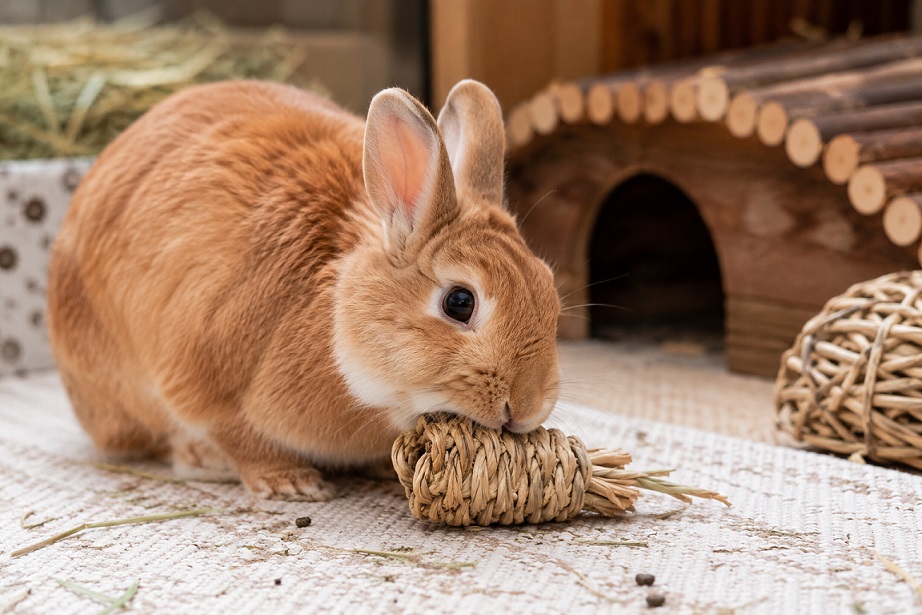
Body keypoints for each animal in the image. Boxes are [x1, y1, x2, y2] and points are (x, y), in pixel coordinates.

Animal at [46, 79, 561, 501]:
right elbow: (236, 434)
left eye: (550, 291)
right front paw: (290, 483)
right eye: (459, 302)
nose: (527, 408)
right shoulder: (203, 377)